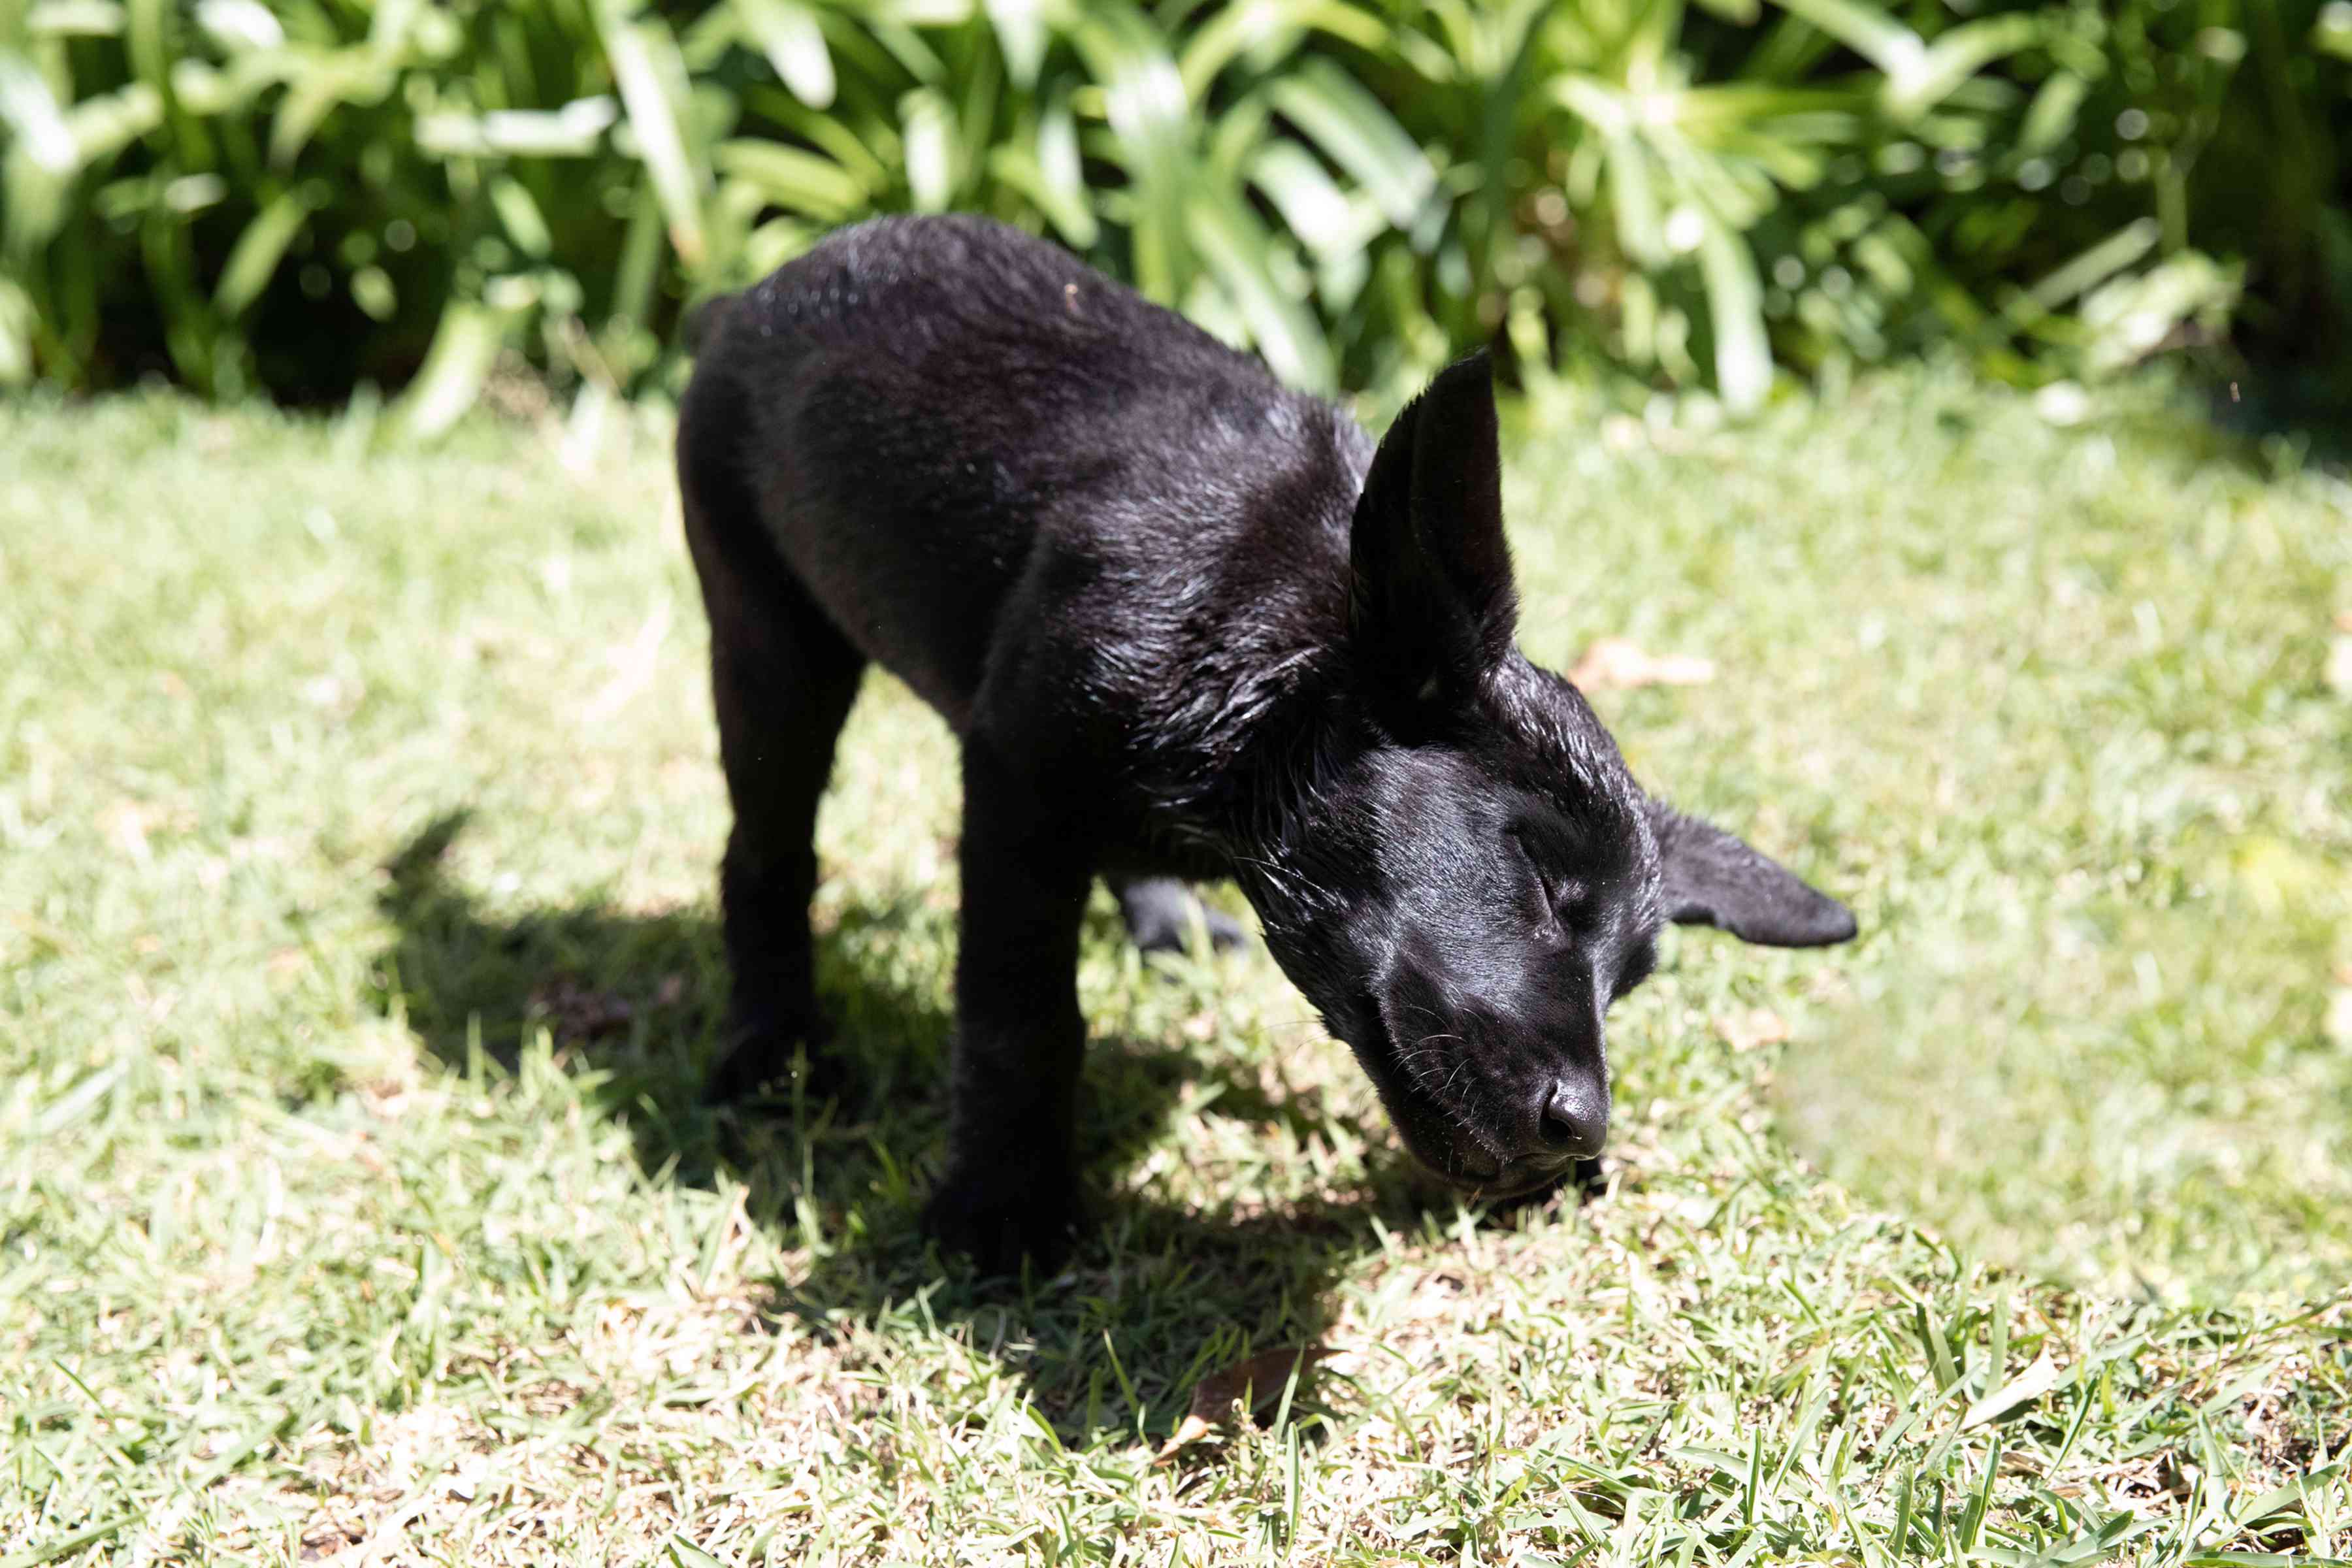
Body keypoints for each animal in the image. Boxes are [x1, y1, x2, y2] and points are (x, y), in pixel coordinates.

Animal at [672, 215, 1844, 1269]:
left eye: (1631, 980)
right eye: (1548, 890)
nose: (1581, 1131)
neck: (1267, 644)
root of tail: (751, 294)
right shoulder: (1017, 784)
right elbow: (1021, 1014)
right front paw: (1005, 1210)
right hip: (769, 641)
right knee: (765, 852)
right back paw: (770, 1053)